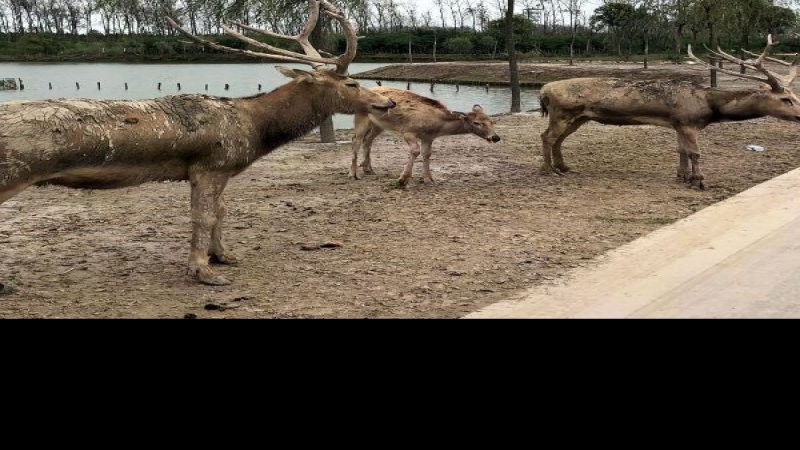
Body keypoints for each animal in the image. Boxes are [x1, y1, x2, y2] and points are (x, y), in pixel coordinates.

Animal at [0, 0, 396, 288]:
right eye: (351, 84)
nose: (387, 101)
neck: (253, 129)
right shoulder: (212, 165)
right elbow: (203, 216)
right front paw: (204, 272)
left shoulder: (216, 171)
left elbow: (221, 211)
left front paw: (224, 255)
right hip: (10, 175)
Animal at [349, 87, 501, 187]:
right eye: (476, 123)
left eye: (491, 121)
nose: (495, 137)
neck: (436, 125)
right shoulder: (408, 131)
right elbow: (415, 150)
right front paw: (402, 179)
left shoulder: (428, 137)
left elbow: (427, 153)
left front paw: (429, 179)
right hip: (361, 117)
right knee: (356, 140)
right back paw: (354, 173)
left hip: (379, 125)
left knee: (368, 141)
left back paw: (368, 169)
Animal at [538, 34, 800, 189]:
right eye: (785, 99)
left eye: (795, 95)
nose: (799, 115)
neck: (709, 107)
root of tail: (542, 91)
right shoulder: (688, 123)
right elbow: (695, 153)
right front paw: (698, 181)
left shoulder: (678, 123)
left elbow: (681, 150)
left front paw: (682, 176)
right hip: (562, 113)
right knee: (547, 136)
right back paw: (548, 171)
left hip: (579, 117)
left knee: (557, 139)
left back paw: (563, 167)